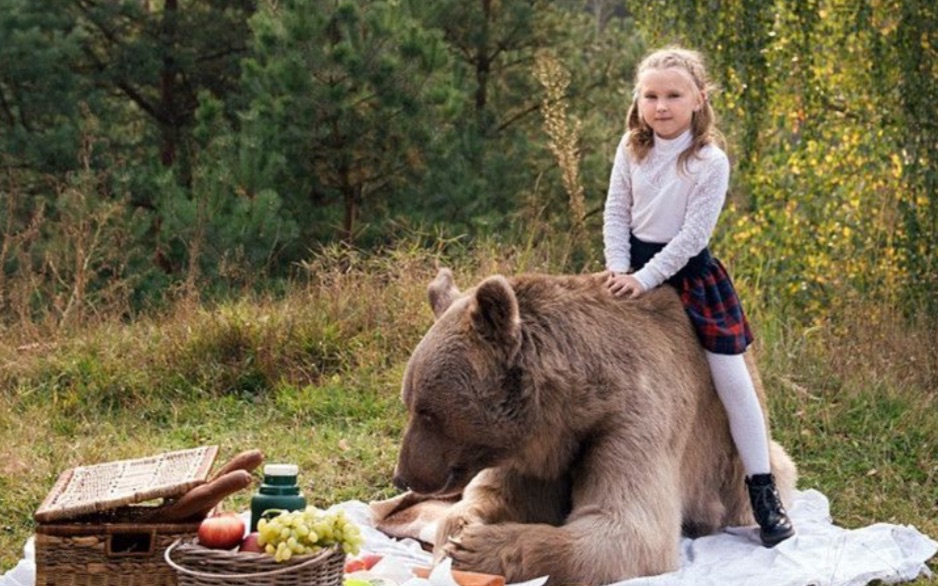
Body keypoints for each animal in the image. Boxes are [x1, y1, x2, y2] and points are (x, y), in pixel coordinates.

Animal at [392, 266, 792, 580]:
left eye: (427, 412)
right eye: (409, 403)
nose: (402, 476)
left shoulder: (633, 419)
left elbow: (629, 527)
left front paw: (475, 548)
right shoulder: (532, 452)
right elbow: (490, 495)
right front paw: (459, 533)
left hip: (732, 469)